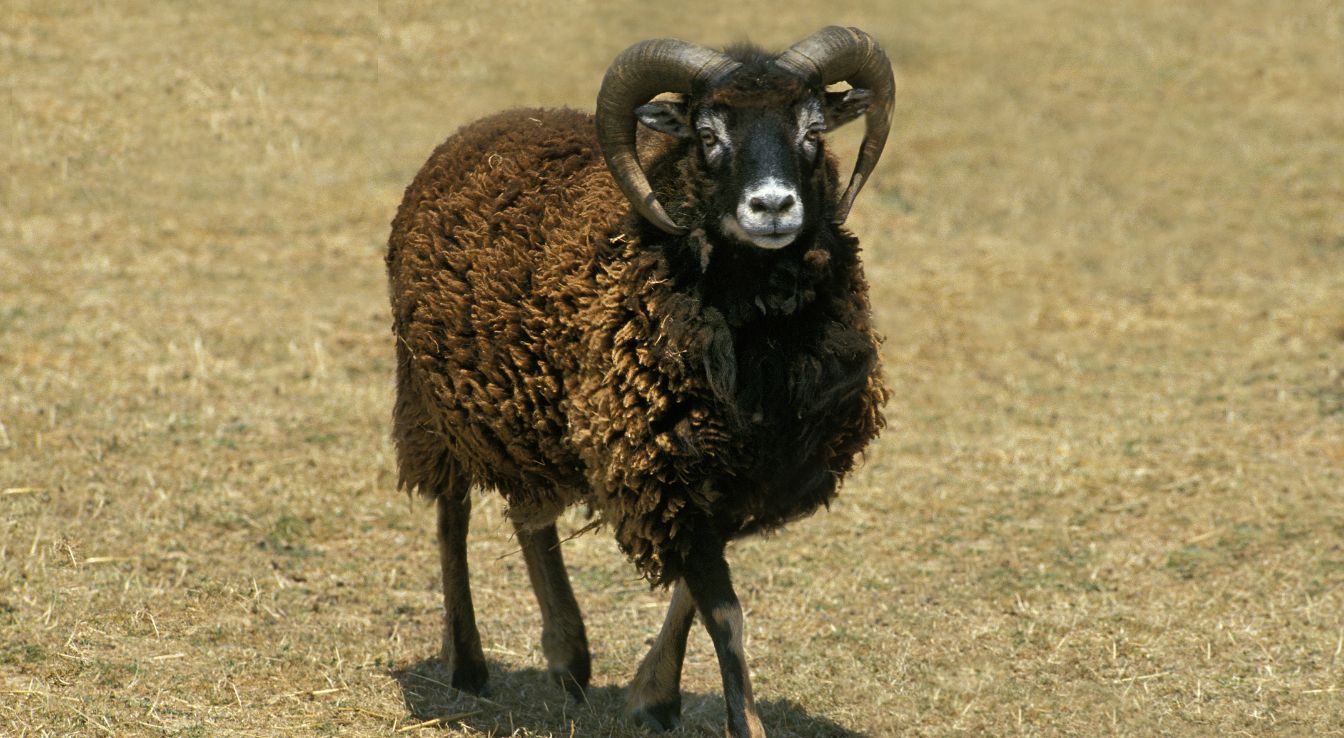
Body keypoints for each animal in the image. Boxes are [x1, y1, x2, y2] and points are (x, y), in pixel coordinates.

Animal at [385, 26, 894, 738]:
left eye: (813, 129)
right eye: (708, 135)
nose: (772, 206)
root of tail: (478, 129)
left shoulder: (742, 474)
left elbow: (693, 595)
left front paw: (655, 696)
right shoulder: (661, 463)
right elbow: (725, 612)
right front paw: (740, 720)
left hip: (529, 409)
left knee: (530, 515)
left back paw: (568, 656)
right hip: (436, 404)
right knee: (451, 516)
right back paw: (468, 664)